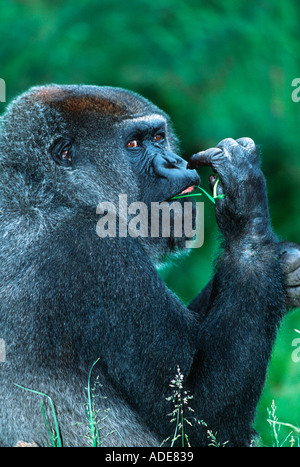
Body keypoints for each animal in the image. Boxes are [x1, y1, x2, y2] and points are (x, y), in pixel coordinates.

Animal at [0, 85, 298, 450]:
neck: (49, 189)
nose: (175, 163)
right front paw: (246, 203)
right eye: (133, 145)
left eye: (158, 137)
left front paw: (285, 268)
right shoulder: (96, 250)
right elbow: (198, 413)